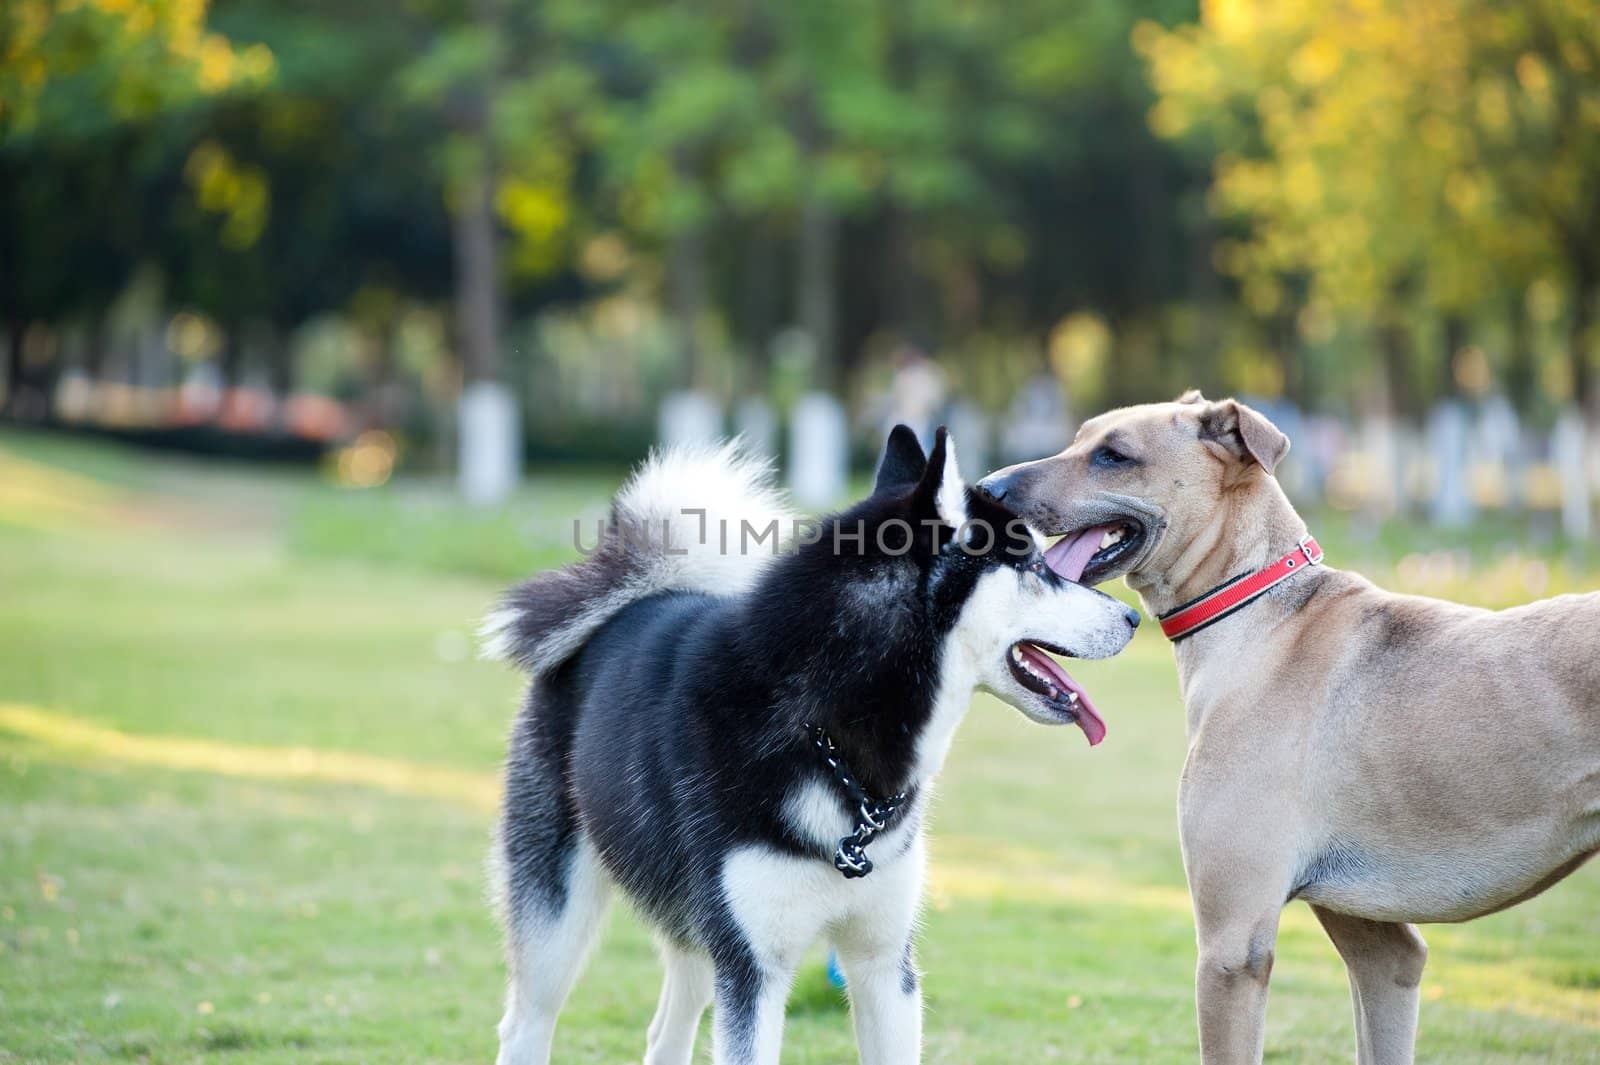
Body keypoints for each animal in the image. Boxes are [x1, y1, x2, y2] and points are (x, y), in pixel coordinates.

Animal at [476, 428, 1139, 1061]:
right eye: (1031, 566)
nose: (1132, 619)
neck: (831, 735)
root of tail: (631, 601)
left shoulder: (883, 964)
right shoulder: (753, 970)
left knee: (667, 1032)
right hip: (561, 919)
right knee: (525, 1024)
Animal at [972, 391, 1600, 1061]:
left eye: (1114, 455)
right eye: (1077, 439)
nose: (986, 489)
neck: (1256, 612)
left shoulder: (1232, 950)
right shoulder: (1382, 951)